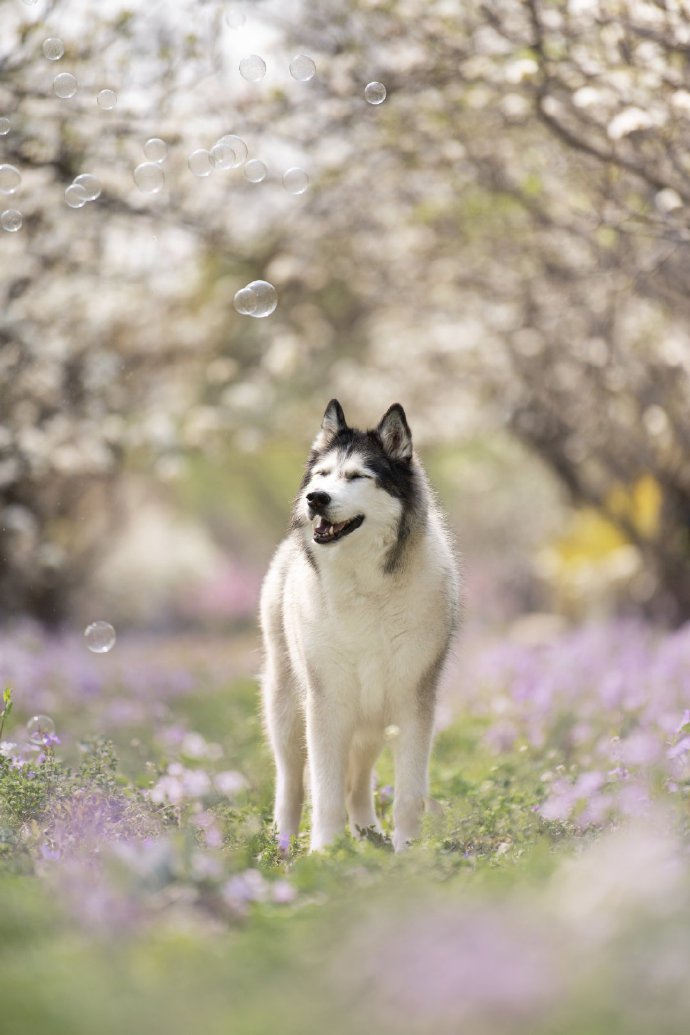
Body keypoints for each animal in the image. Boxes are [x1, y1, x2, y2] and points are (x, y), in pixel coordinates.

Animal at [258, 399, 459, 852]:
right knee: (292, 785)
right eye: (322, 475)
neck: (367, 589)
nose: (315, 499)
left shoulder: (413, 706)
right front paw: (323, 853)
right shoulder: (327, 706)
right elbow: (325, 793)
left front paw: (406, 853)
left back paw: (370, 836)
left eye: (356, 476)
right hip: (288, 713)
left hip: (370, 724)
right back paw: (284, 845)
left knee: (358, 785)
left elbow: (407, 795)